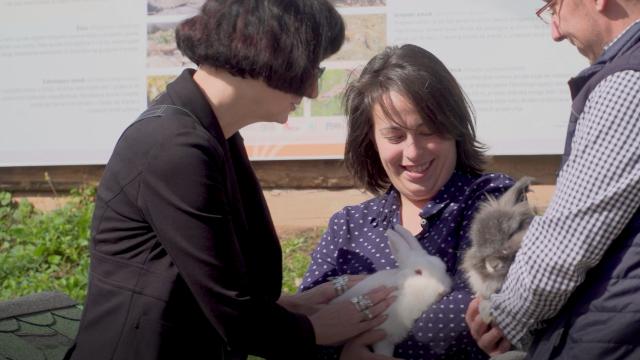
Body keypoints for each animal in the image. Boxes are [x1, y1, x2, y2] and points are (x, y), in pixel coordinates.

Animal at [332, 224, 452, 356]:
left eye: (443, 267)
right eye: (418, 272)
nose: (443, 291)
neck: (404, 291)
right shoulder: (382, 335)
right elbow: (383, 352)